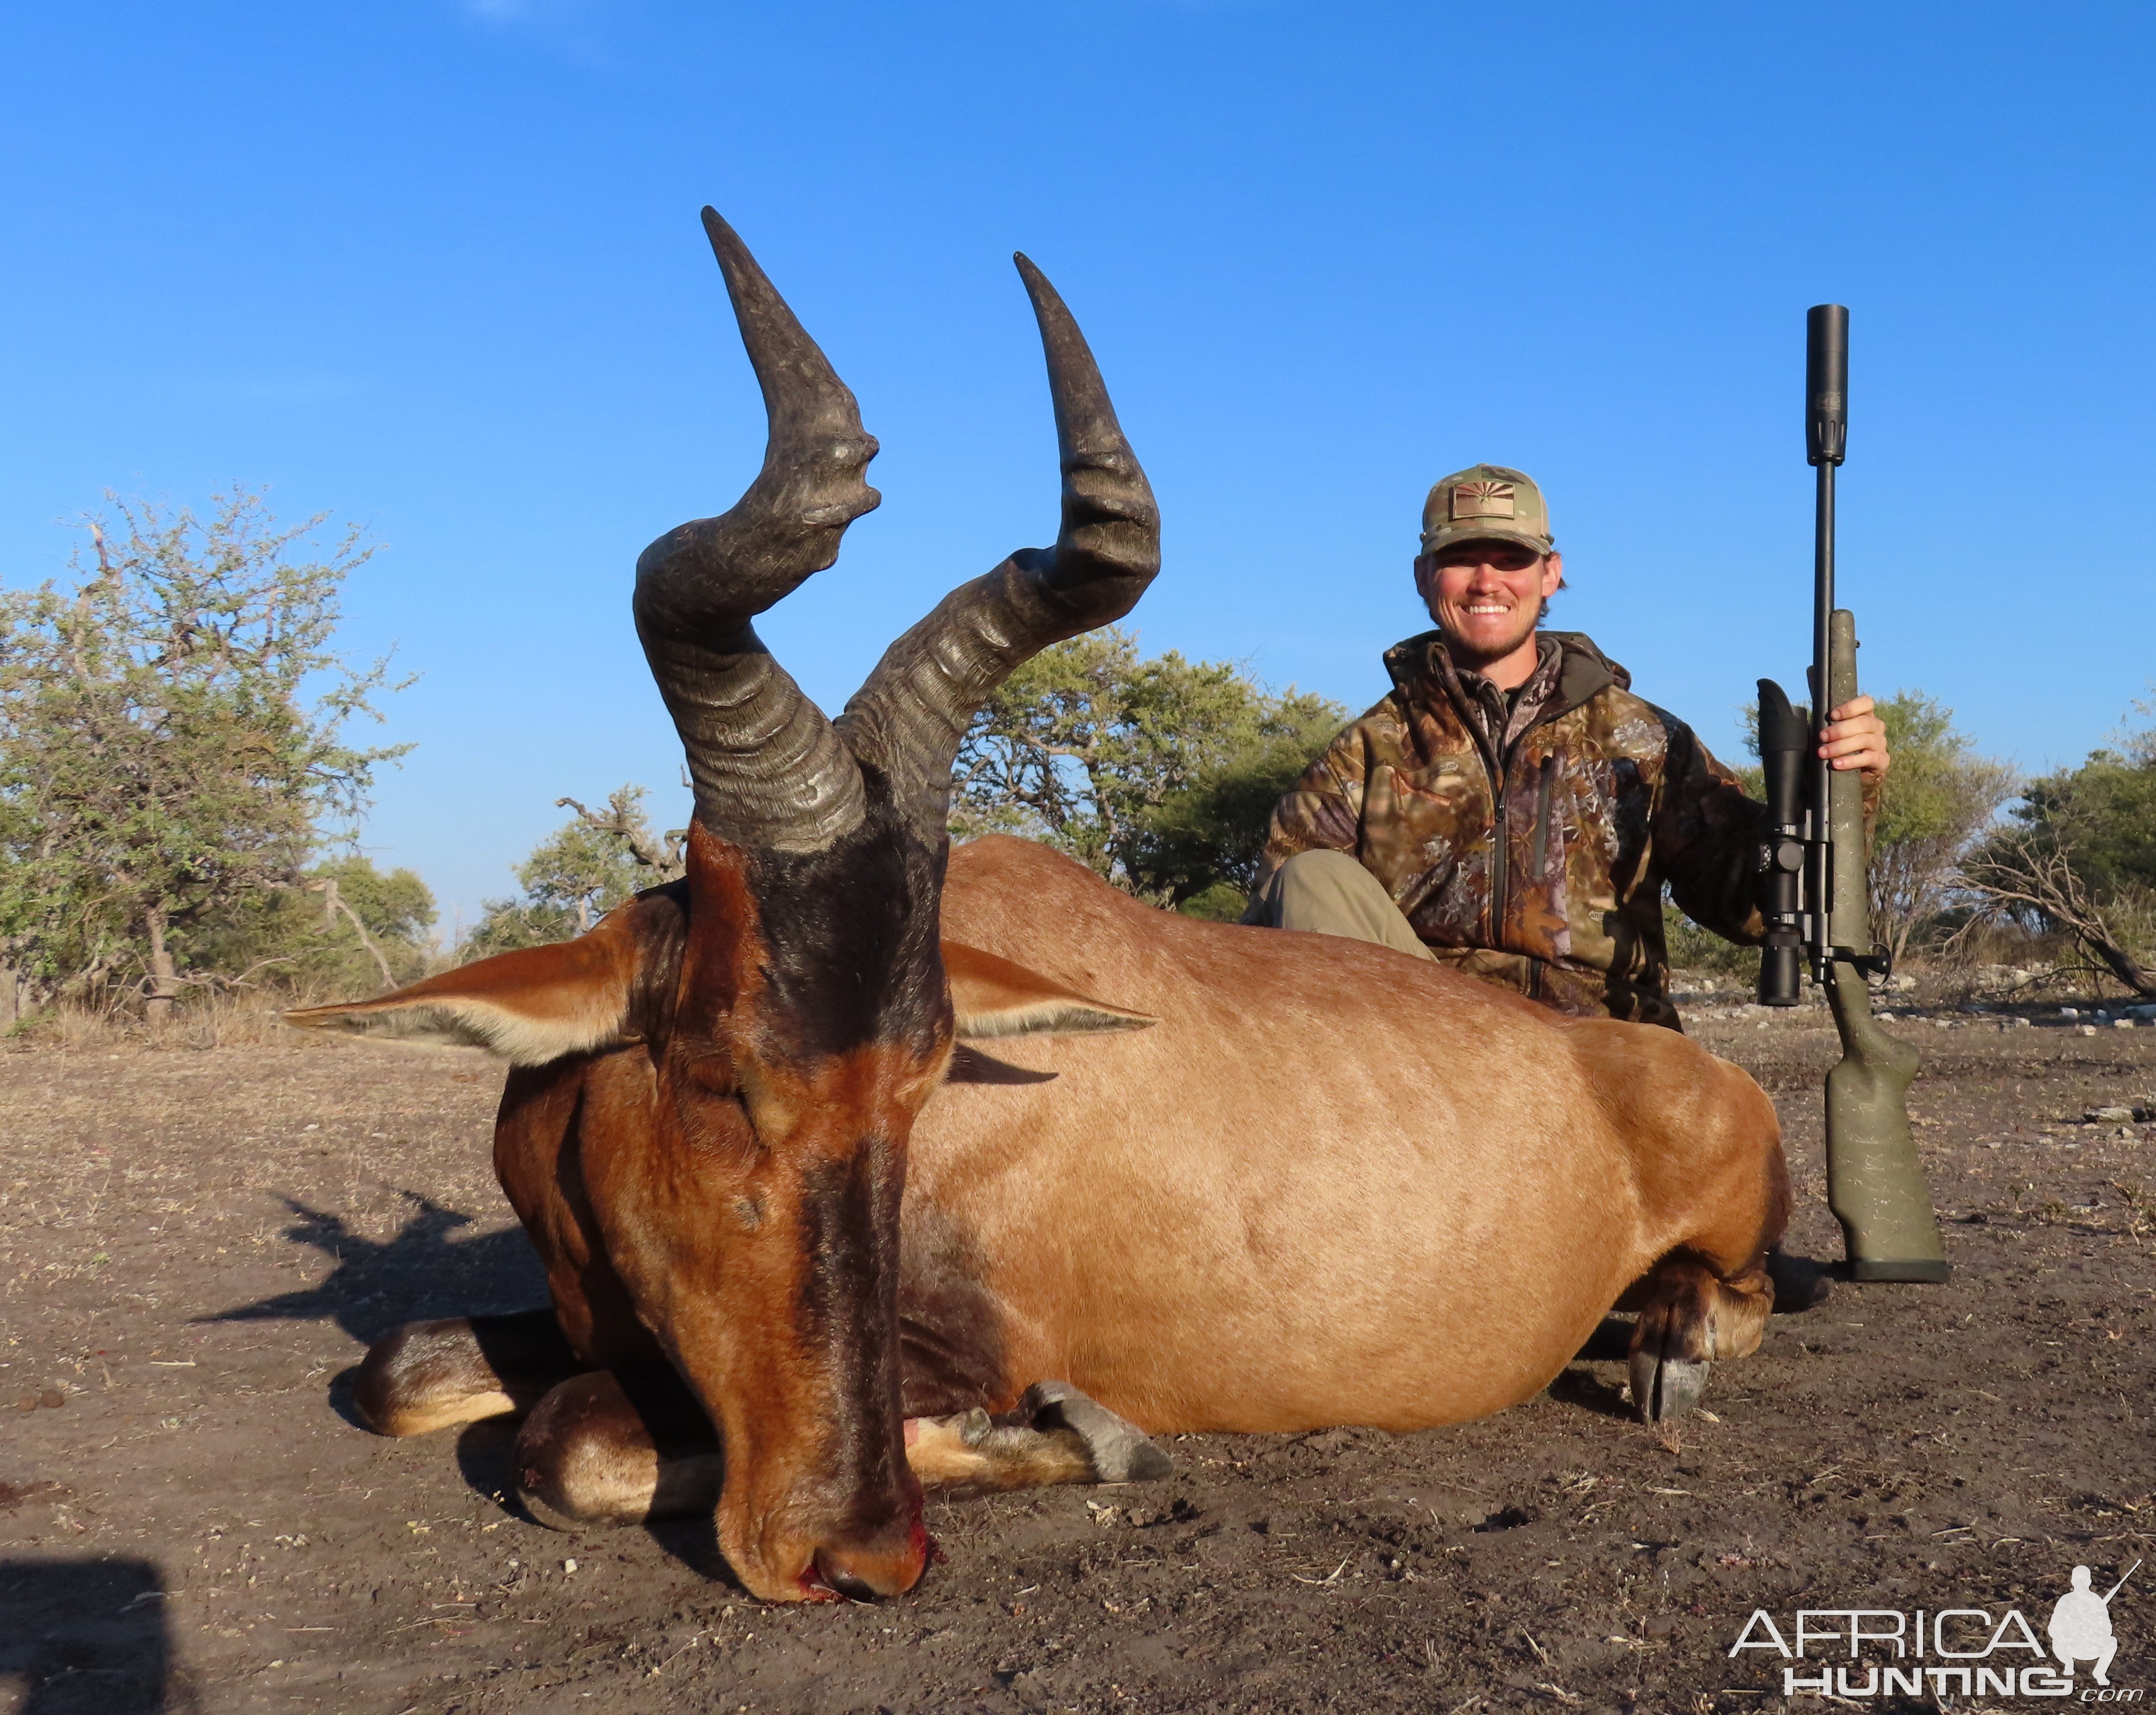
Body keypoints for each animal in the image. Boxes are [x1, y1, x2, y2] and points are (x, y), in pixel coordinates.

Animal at [295, 211, 1794, 1611]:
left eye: (921, 1084)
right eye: (721, 1077)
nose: (861, 1552)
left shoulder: (957, 1342)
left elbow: (570, 1445)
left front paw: (1087, 1435)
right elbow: (397, 1369)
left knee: (1741, 1300)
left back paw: (1662, 1351)